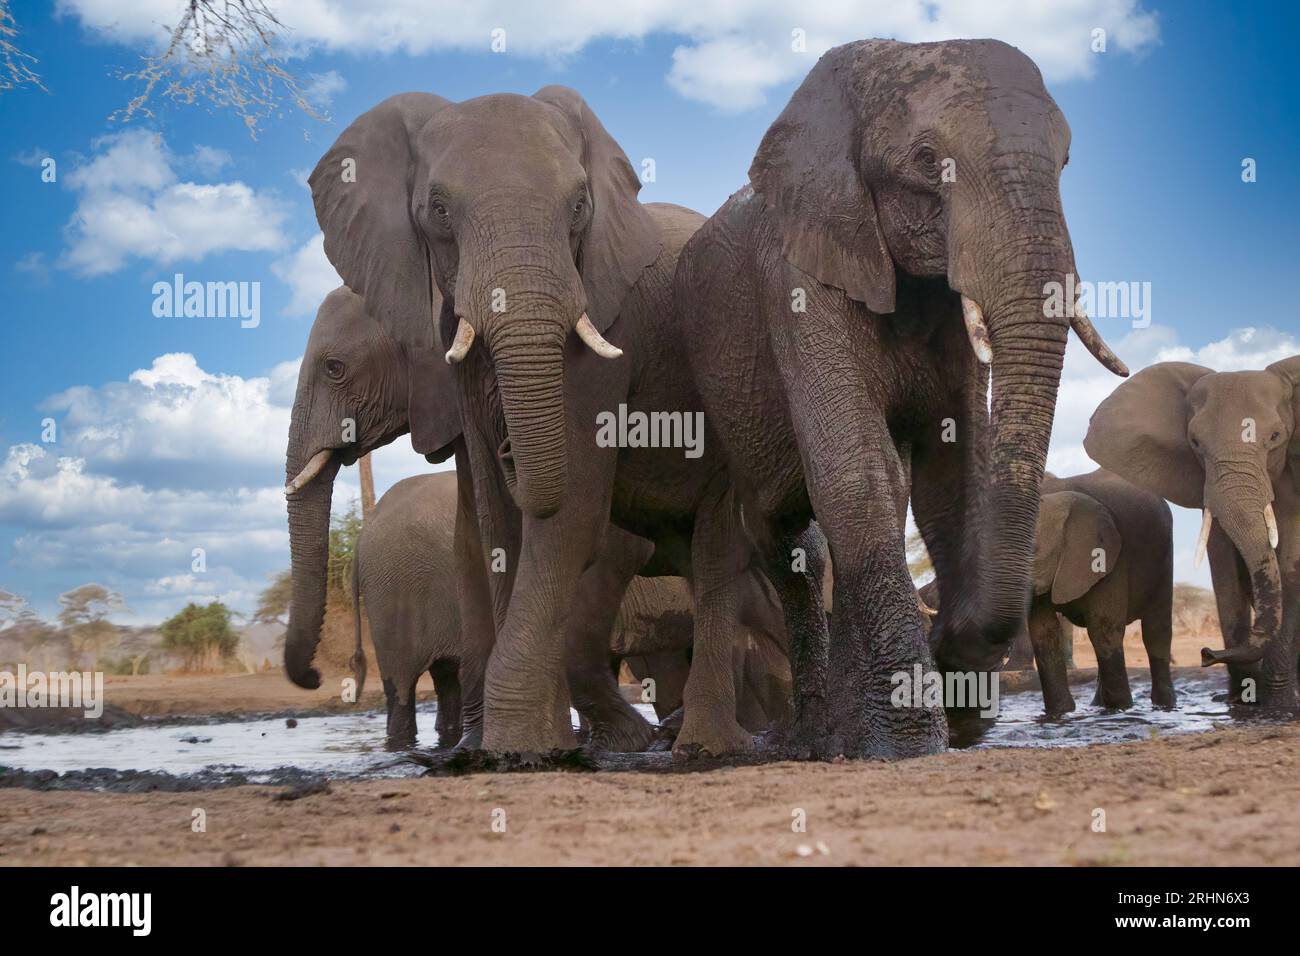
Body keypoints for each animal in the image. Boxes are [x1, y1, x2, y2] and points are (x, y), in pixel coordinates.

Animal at [674, 39, 1127, 758]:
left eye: (1065, 161)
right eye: (925, 159)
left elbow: (950, 476)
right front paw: (911, 743)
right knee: (785, 540)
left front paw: (950, 715)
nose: (946, 634)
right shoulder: (798, 275)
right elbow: (859, 470)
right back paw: (812, 742)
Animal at [1030, 470, 1175, 714]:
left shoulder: (1109, 557)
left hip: (1163, 556)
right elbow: (1044, 633)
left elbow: (1103, 629)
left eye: (1033, 549)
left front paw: (1122, 709)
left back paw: (1165, 706)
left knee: (1156, 631)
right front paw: (1062, 713)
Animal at [1085, 357, 1300, 711]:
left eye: (1275, 436)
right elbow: (1224, 572)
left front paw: (1279, 708)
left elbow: (1292, 568)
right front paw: (1243, 704)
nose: (1206, 653)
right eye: (1196, 444)